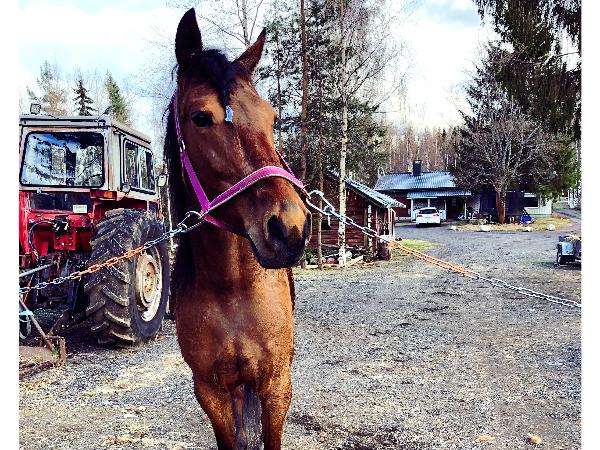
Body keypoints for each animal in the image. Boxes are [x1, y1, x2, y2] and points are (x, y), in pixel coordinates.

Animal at [165, 9, 312, 450]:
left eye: (272, 117)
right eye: (201, 118)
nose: (289, 227)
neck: (233, 289)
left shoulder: (277, 386)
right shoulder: (210, 392)